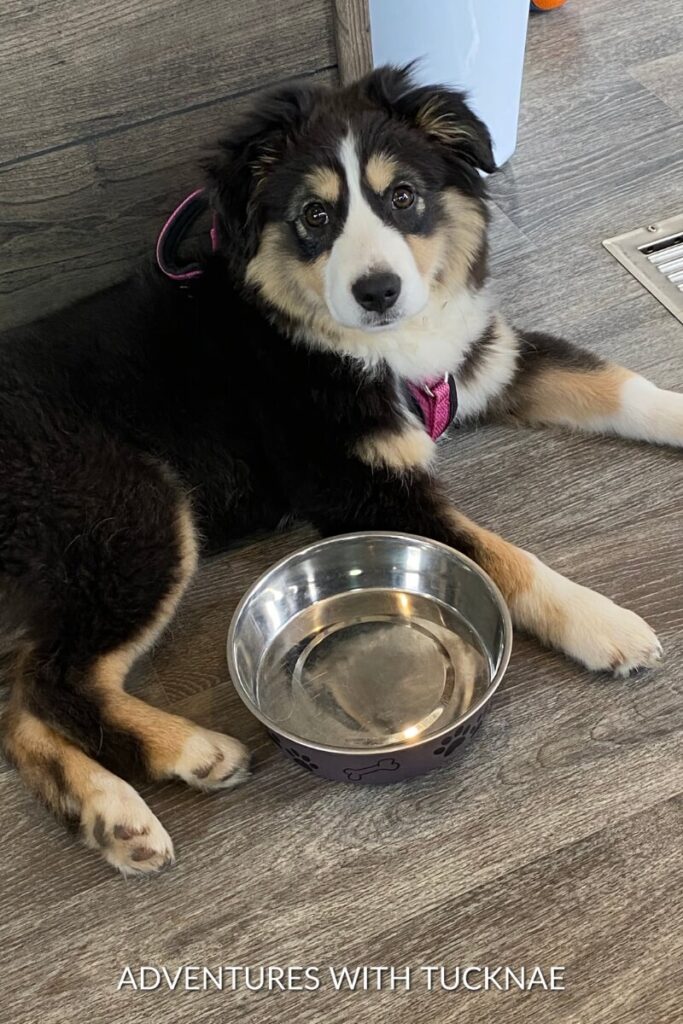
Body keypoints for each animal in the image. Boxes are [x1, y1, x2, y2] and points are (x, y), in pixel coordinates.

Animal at [1, 68, 683, 876]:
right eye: (315, 215)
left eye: (403, 197)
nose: (377, 291)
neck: (364, 345)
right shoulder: (358, 484)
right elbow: (497, 554)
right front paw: (601, 622)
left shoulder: (487, 359)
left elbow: (618, 386)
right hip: (128, 511)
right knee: (55, 679)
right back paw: (188, 752)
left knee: (18, 701)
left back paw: (111, 815)